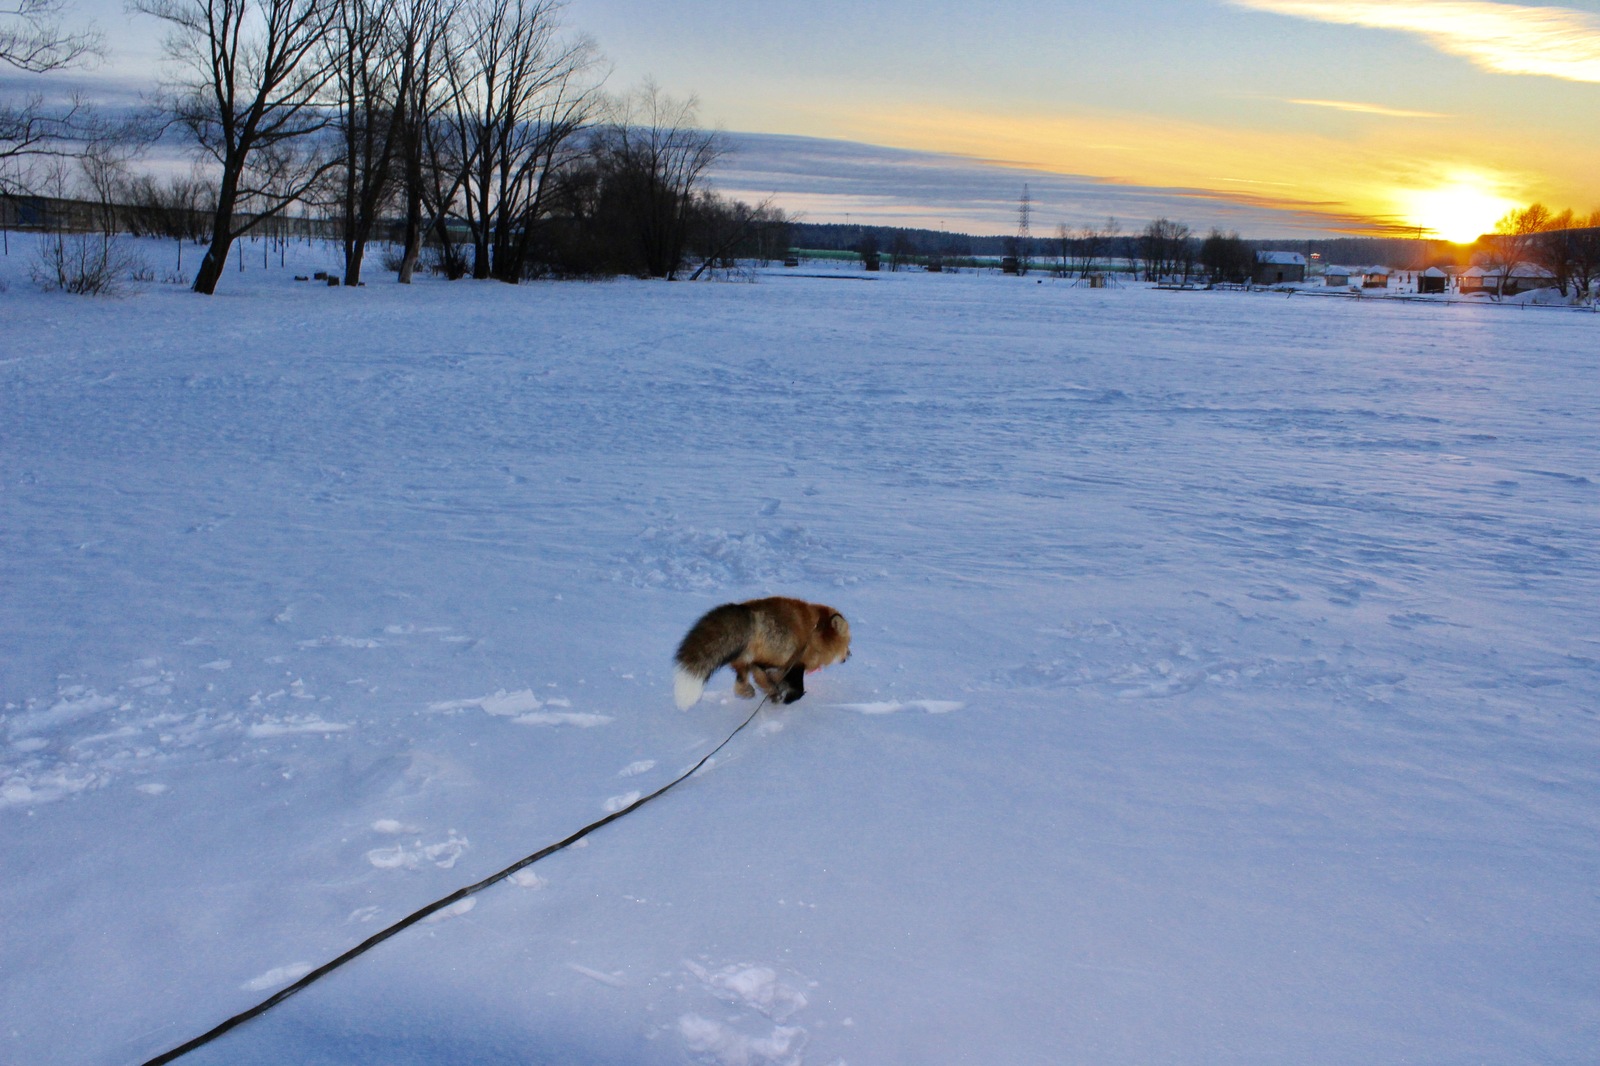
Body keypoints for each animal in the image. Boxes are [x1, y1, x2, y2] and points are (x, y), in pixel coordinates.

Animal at [672, 592, 851, 710]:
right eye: (848, 643)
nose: (849, 655)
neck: (817, 632)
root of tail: (746, 609)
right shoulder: (798, 662)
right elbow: (797, 688)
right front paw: (789, 698)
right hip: (783, 651)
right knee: (758, 668)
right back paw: (772, 691)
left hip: (746, 659)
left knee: (743, 680)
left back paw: (756, 691)